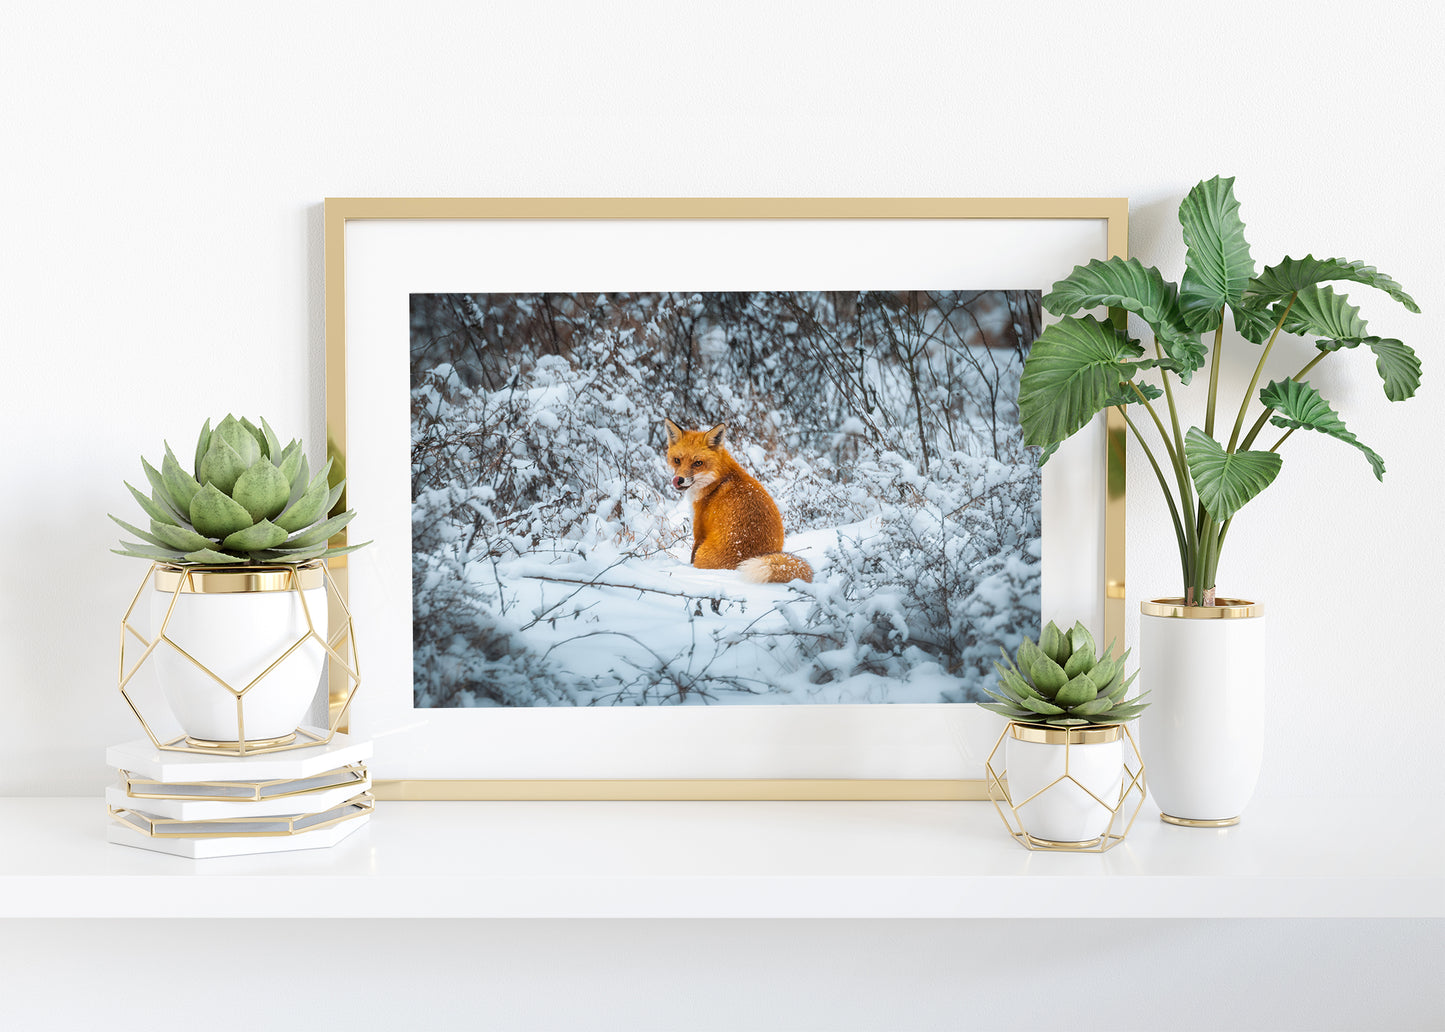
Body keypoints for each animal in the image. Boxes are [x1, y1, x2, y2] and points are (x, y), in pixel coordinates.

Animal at [663, 418, 813, 584]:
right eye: (677, 460)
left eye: (698, 463)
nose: (679, 479)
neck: (718, 480)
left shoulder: (699, 530)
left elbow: (691, 554)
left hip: (703, 552)